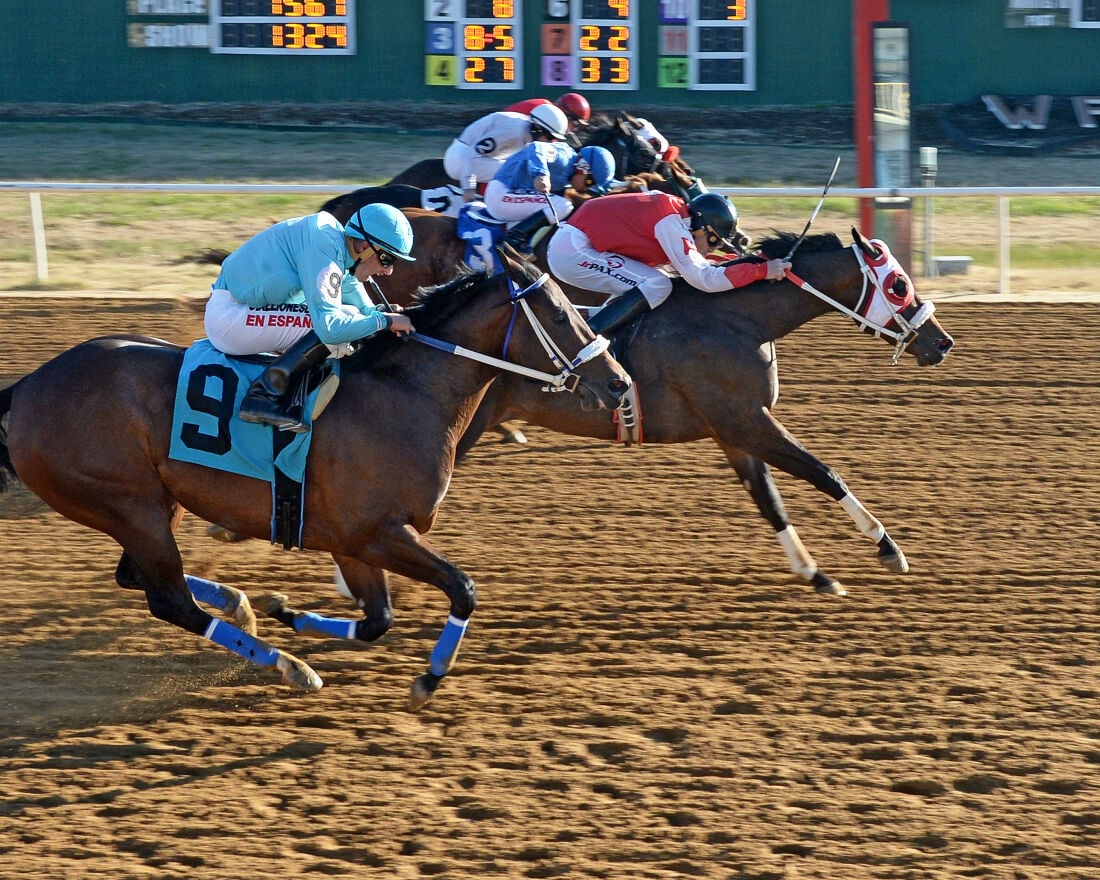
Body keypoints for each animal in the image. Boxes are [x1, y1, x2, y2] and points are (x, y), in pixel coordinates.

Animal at [0, 254, 633, 708]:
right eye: (560, 315)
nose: (619, 384)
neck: (406, 394)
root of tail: (28, 385)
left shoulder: (353, 541)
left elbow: (378, 620)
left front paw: (287, 610)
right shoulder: (378, 532)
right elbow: (463, 589)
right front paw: (429, 678)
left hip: (153, 504)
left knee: (139, 576)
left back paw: (242, 605)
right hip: (129, 504)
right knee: (169, 598)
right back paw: (287, 664)